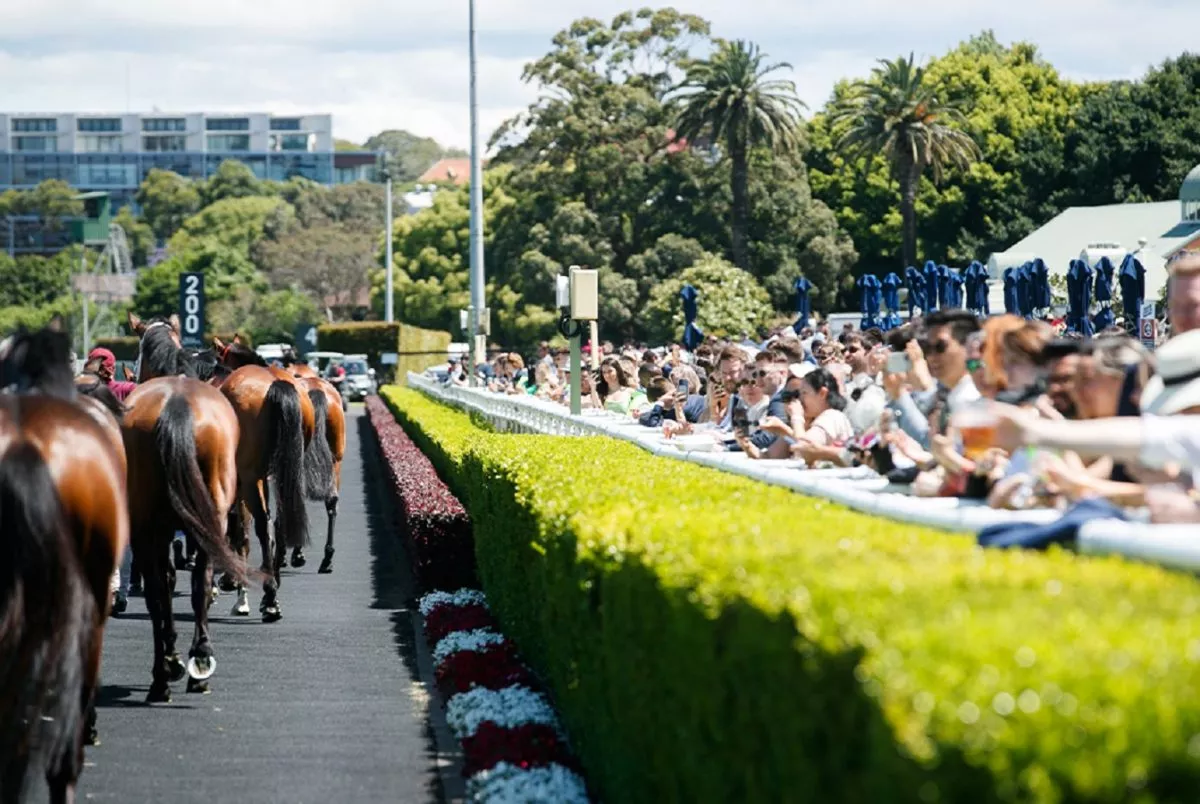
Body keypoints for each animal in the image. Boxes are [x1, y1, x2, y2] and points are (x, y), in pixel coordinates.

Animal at [124, 312, 246, 700]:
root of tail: (176, 407)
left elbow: (163, 584)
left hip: (152, 524)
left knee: (161, 589)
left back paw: (166, 671)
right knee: (199, 582)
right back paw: (198, 662)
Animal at [140, 324, 314, 628]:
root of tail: (275, 382)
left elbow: (233, 529)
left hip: (247, 477)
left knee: (259, 525)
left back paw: (268, 598)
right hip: (282, 471)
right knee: (277, 521)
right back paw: (271, 585)